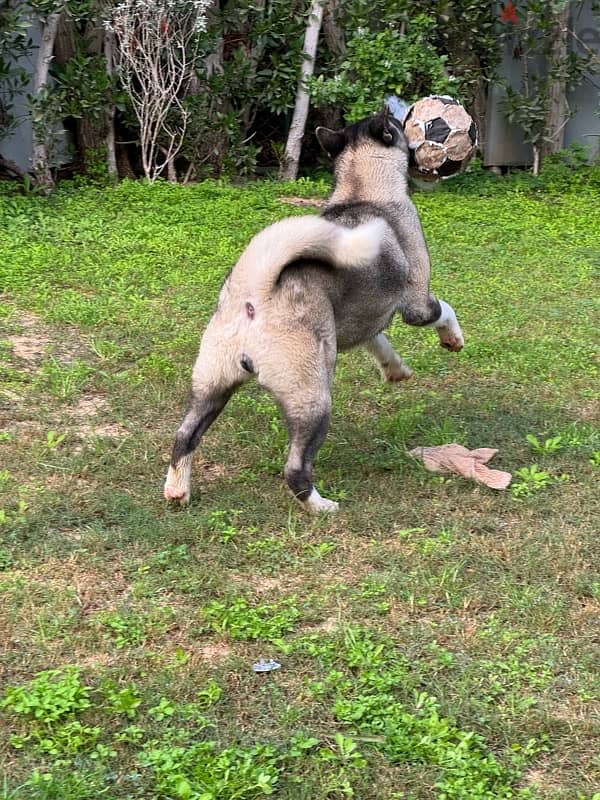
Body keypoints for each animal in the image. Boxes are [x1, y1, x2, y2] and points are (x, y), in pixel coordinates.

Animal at [164, 108, 464, 512]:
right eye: (399, 125)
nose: (402, 112)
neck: (361, 188)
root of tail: (254, 294)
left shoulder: (359, 322)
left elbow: (379, 343)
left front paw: (395, 370)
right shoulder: (417, 303)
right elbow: (444, 310)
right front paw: (453, 339)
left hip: (211, 388)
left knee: (185, 437)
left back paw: (177, 491)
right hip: (314, 399)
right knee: (295, 468)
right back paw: (321, 506)